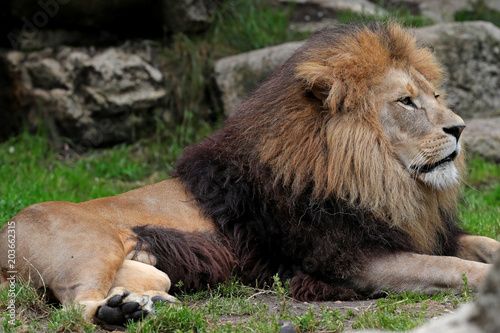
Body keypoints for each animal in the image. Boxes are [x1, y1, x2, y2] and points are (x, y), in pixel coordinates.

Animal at [0, 22, 500, 326]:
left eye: (436, 95)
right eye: (406, 102)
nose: (460, 128)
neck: (385, 180)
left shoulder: (421, 232)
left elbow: (482, 244)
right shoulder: (352, 261)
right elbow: (452, 267)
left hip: (152, 267)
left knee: (146, 285)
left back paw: (142, 303)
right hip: (91, 244)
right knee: (76, 306)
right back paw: (119, 313)